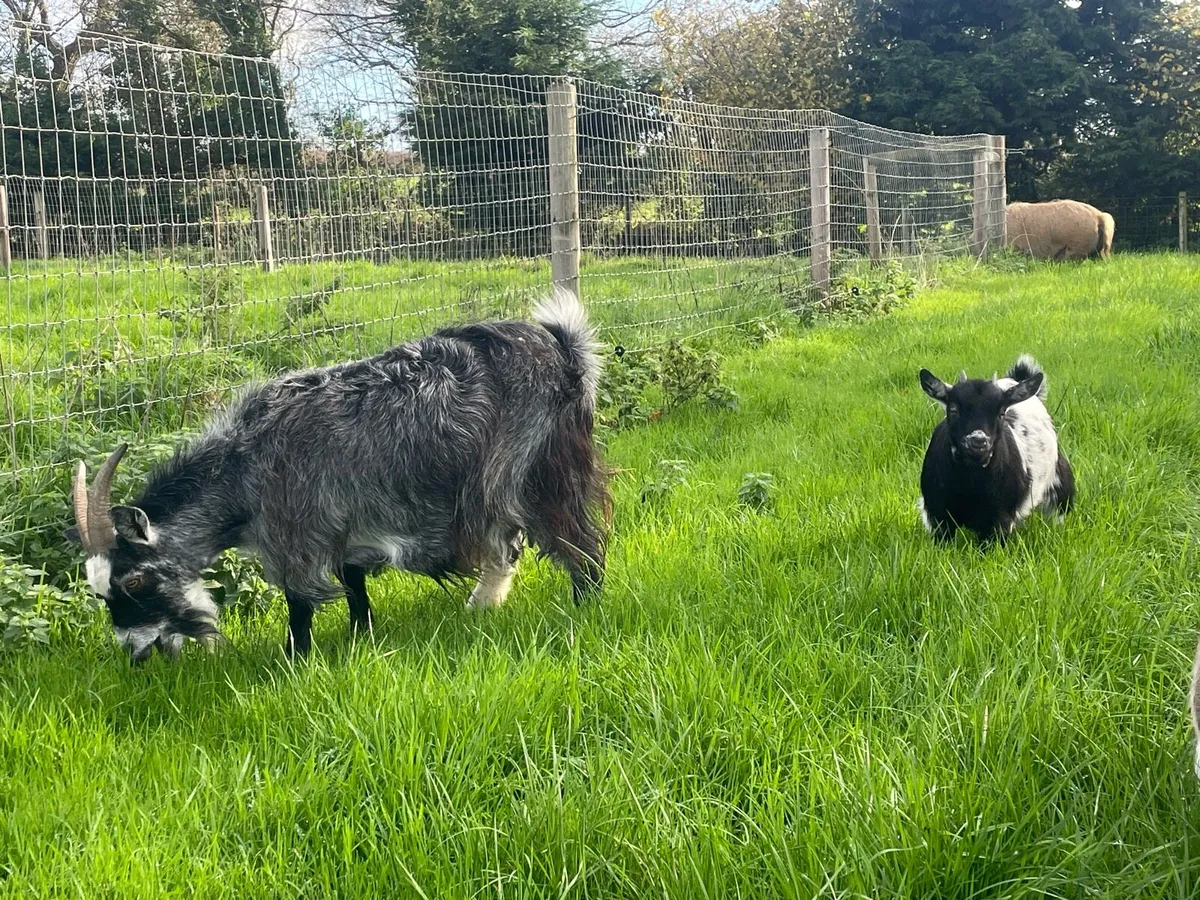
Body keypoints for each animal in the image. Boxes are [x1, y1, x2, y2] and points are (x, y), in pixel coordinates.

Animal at [67, 288, 610, 661]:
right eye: (100, 591)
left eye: (135, 580)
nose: (135, 652)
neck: (247, 464)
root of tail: (564, 349)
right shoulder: (344, 522)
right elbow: (353, 583)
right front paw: (361, 635)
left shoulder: (298, 532)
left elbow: (300, 603)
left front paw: (294, 660)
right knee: (511, 542)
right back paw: (482, 607)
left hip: (536, 469)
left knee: (575, 538)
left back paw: (583, 606)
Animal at [917, 355, 1075, 543]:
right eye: (953, 410)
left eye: (1001, 413)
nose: (978, 441)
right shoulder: (938, 516)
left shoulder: (999, 520)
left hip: (1059, 486)